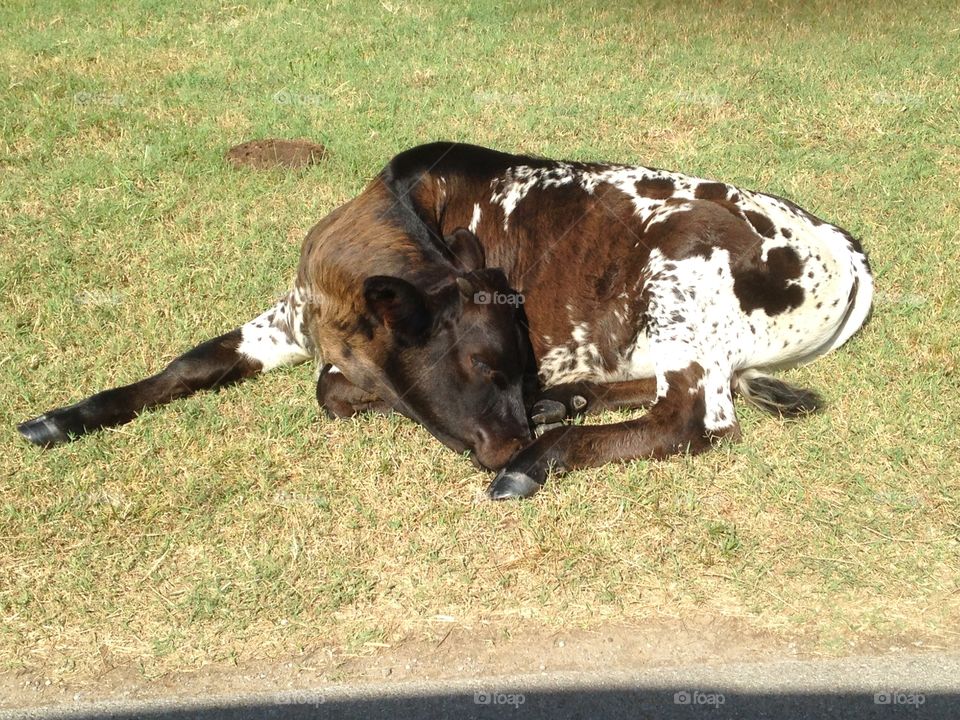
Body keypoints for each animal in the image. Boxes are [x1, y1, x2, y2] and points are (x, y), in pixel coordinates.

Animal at [17, 142, 873, 500]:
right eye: (482, 366)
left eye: (505, 363)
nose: (509, 435)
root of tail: (841, 243)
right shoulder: (288, 319)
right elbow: (190, 363)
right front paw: (65, 417)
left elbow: (331, 392)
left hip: (679, 297)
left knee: (692, 420)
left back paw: (537, 458)